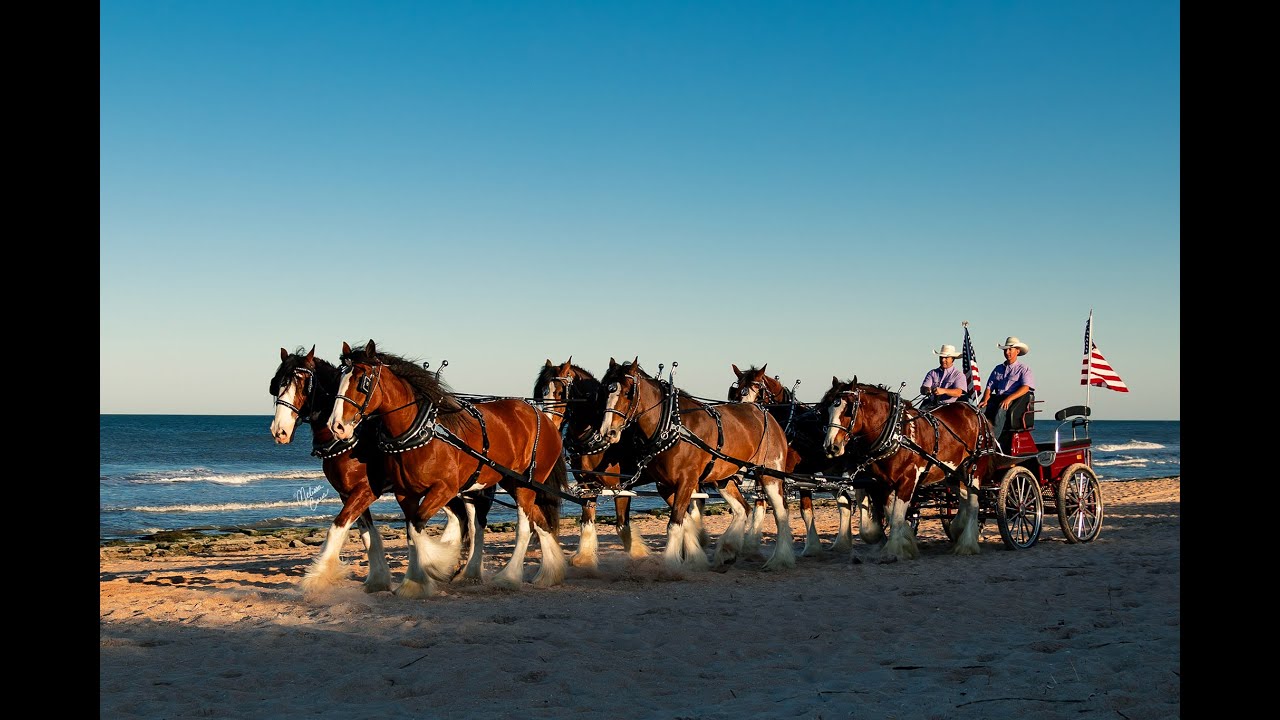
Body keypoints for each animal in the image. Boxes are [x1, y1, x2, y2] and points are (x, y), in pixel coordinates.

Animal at [269, 346, 494, 592]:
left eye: (303, 383)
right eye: (276, 384)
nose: (279, 431)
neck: (355, 439)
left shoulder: (366, 489)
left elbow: (337, 527)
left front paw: (317, 578)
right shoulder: (347, 493)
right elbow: (368, 534)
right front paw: (378, 579)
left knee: (476, 523)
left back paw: (468, 572)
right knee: (461, 518)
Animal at [326, 340, 570, 597]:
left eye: (362, 381)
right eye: (339, 379)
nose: (336, 426)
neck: (422, 431)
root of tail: (543, 417)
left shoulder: (445, 488)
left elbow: (417, 528)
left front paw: (437, 563)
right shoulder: (405, 493)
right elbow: (412, 532)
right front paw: (415, 581)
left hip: (527, 483)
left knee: (524, 526)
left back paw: (509, 577)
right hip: (511, 481)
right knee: (540, 520)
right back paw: (550, 572)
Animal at [590, 358, 794, 574]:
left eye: (629, 392)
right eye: (604, 390)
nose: (608, 432)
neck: (671, 425)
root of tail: (764, 412)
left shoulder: (686, 481)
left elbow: (674, 524)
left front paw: (670, 565)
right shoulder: (665, 486)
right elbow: (684, 521)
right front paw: (696, 557)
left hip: (770, 474)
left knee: (781, 513)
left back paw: (779, 559)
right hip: (723, 477)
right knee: (742, 509)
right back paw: (727, 551)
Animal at [729, 363, 860, 556]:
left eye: (759, 393)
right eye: (737, 392)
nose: (746, 417)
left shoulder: (790, 474)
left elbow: (791, 509)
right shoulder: (766, 472)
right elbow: (761, 505)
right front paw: (751, 547)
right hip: (829, 472)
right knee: (845, 501)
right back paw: (842, 544)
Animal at [817, 376, 997, 561]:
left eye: (849, 409)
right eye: (828, 409)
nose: (831, 447)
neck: (896, 434)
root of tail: (977, 413)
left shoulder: (908, 480)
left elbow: (896, 517)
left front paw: (893, 550)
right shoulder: (884, 483)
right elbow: (891, 514)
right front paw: (907, 541)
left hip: (974, 470)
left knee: (974, 504)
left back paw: (967, 544)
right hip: (953, 474)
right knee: (964, 500)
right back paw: (958, 530)